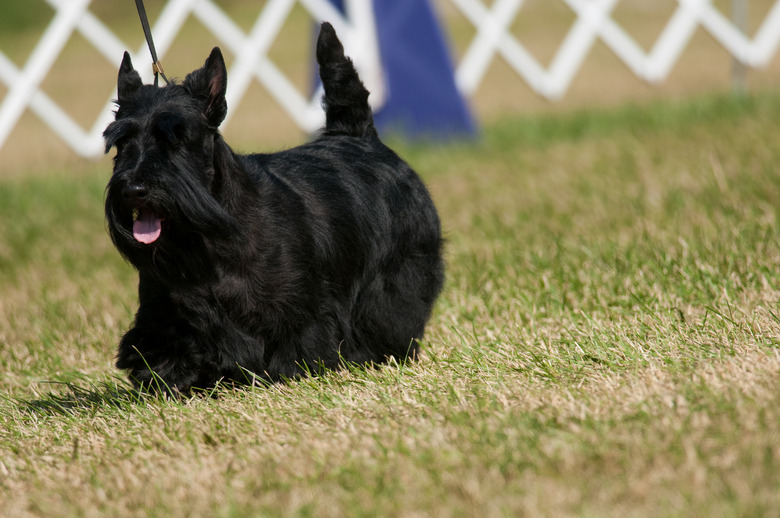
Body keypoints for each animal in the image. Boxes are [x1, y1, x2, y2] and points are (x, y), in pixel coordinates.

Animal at [103, 21, 444, 394]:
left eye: (177, 138)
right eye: (121, 142)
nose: (134, 189)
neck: (209, 237)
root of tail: (359, 136)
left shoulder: (299, 310)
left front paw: (290, 371)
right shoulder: (167, 316)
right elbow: (170, 345)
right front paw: (171, 378)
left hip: (399, 272)